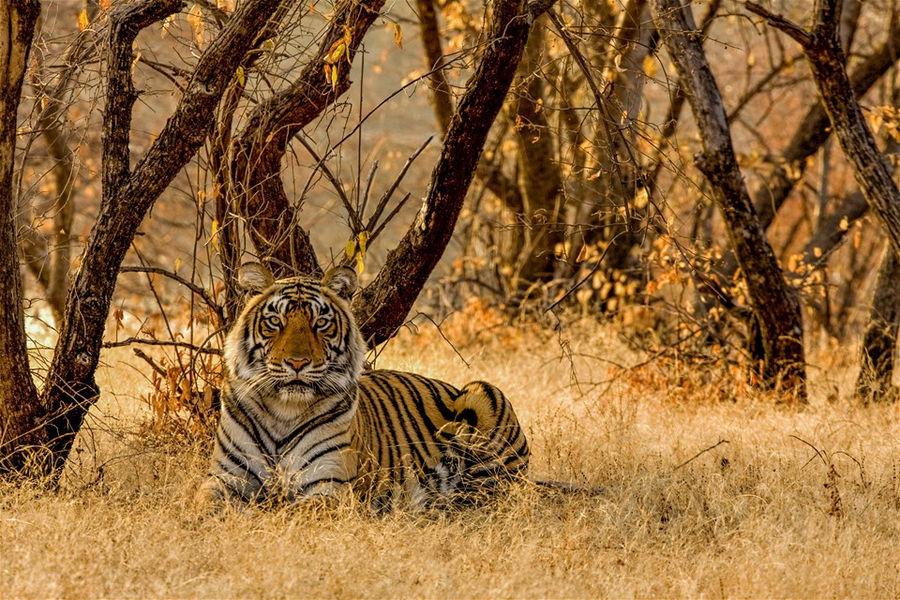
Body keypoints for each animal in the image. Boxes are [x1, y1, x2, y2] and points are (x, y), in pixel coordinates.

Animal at [197, 262, 532, 510]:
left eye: (320, 323)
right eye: (275, 322)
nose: (297, 363)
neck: (284, 410)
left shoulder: (329, 486)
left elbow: (291, 512)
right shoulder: (225, 478)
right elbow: (202, 506)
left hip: (483, 393)